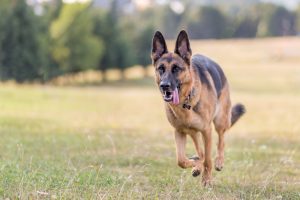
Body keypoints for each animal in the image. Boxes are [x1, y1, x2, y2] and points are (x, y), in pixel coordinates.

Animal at [151, 30, 245, 186]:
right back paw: (197, 165)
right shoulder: (179, 131)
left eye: (176, 69)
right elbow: (181, 160)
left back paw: (219, 162)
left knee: (221, 140)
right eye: (161, 69)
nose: (164, 86)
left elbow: (207, 160)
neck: (186, 102)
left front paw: (206, 180)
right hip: (193, 132)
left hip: (220, 121)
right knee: (200, 151)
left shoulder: (207, 131)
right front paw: (196, 165)